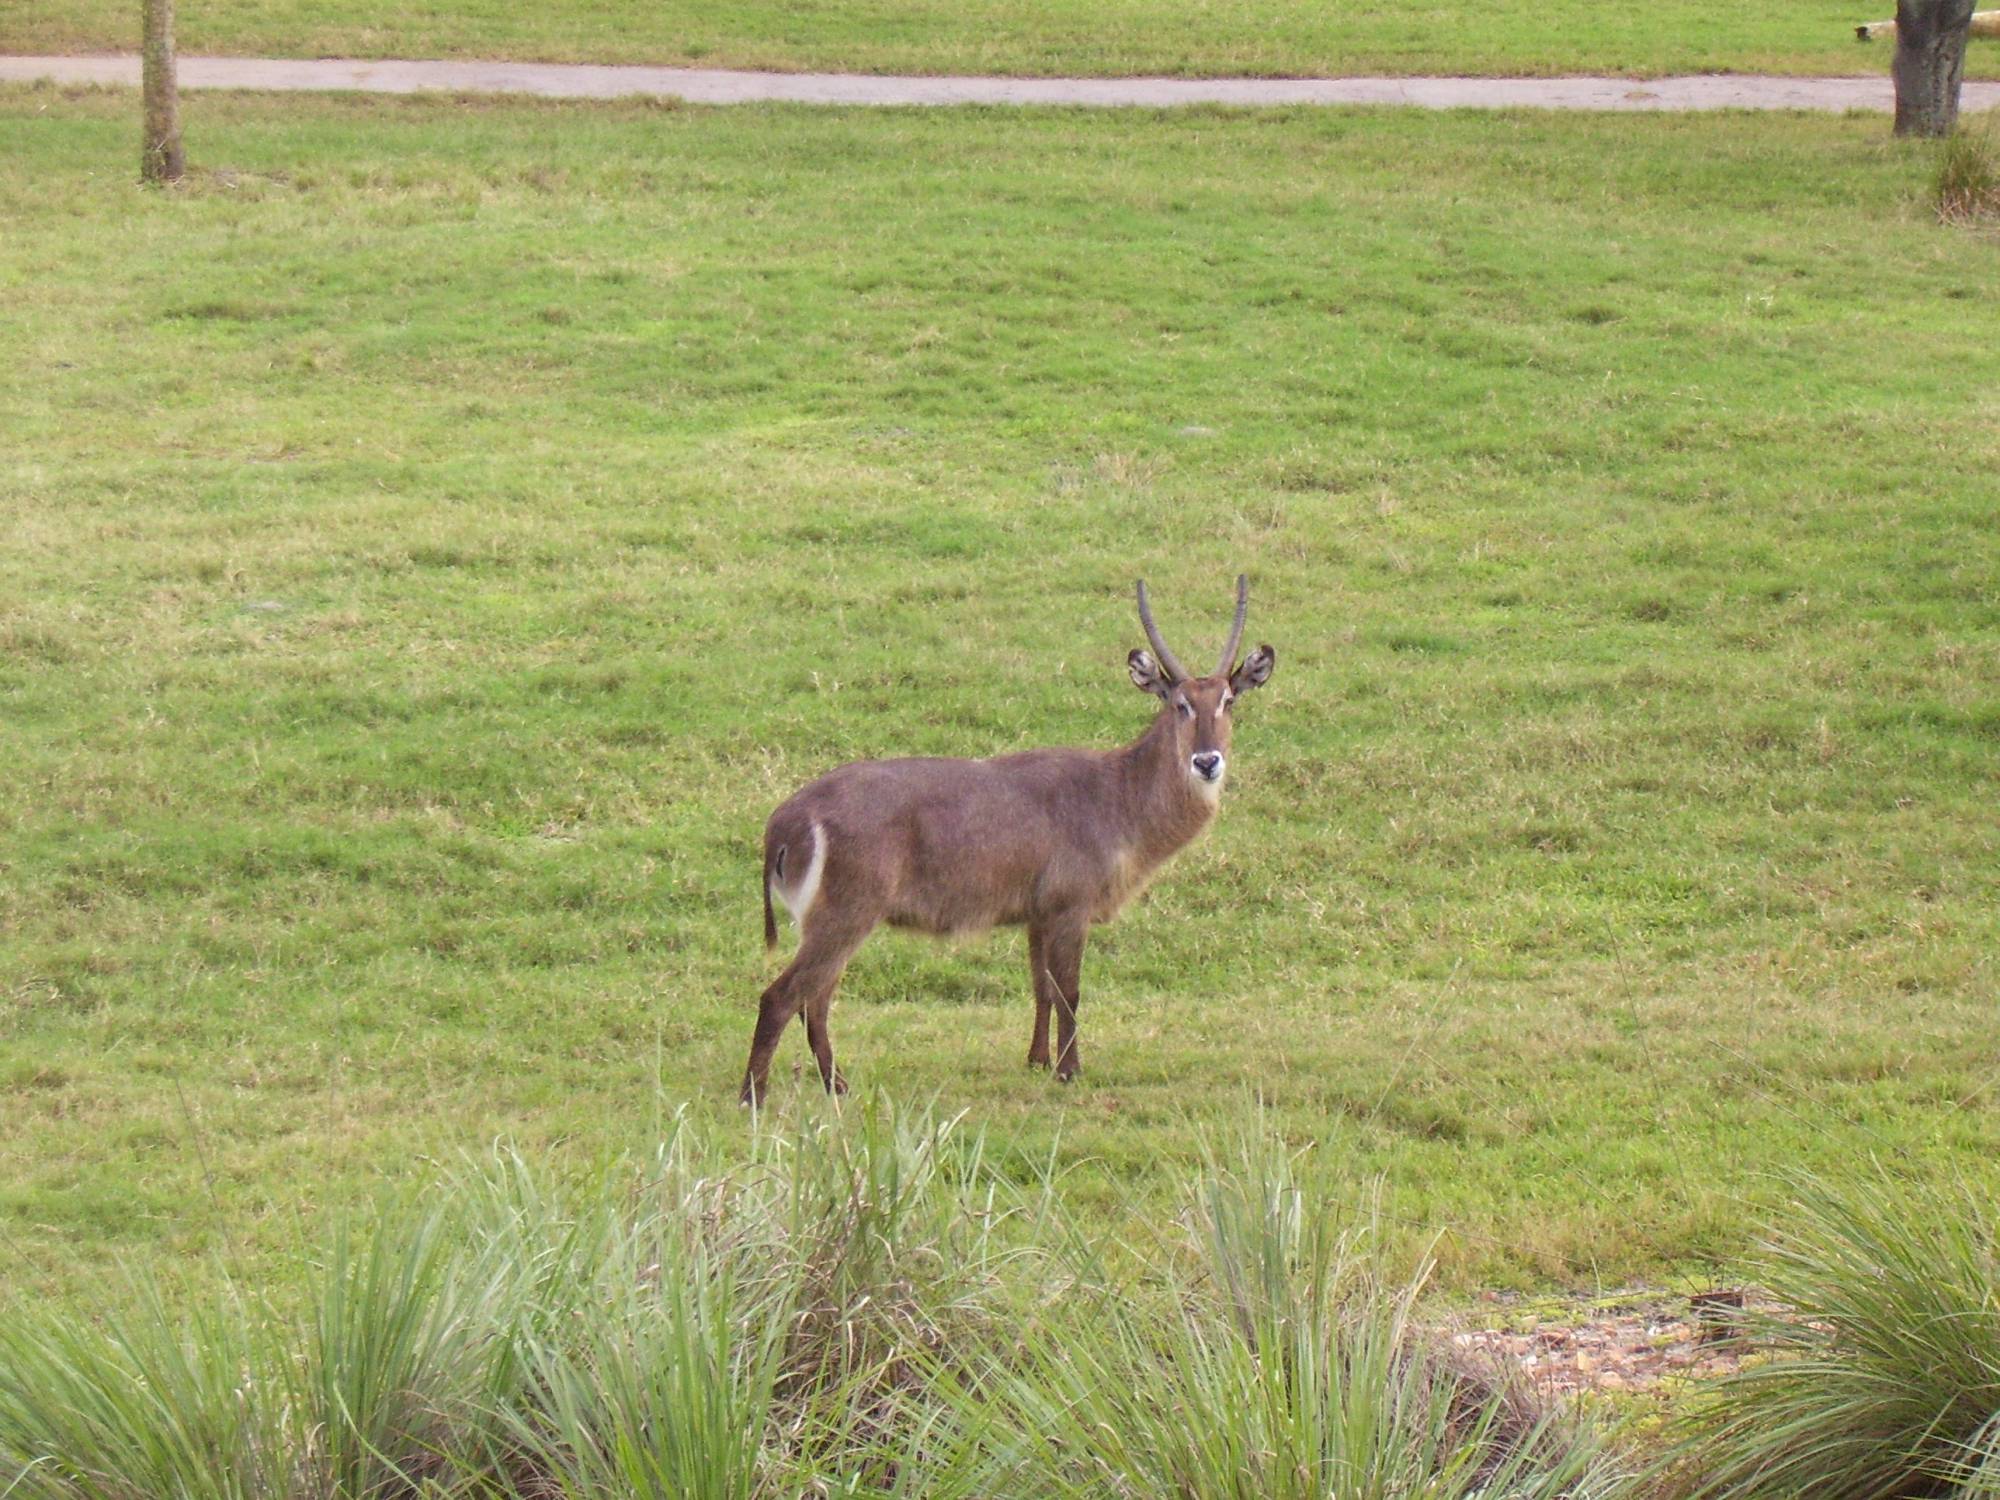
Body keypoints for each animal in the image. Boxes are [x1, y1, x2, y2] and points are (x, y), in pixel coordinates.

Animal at [740, 576, 1280, 1104]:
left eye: (1228, 700)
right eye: (1179, 703)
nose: (1206, 761)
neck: (1117, 792)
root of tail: (785, 816)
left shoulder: (1038, 914)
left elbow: (1040, 988)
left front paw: (1037, 1061)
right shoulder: (1070, 908)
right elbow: (1069, 992)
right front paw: (1069, 1071)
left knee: (814, 1000)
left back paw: (838, 1086)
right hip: (845, 916)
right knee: (782, 996)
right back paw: (754, 1096)